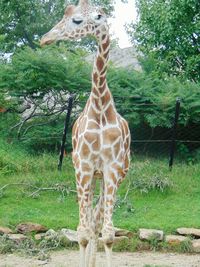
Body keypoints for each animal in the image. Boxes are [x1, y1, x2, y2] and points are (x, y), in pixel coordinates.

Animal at [41, 1, 130, 266]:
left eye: (77, 21)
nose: (45, 38)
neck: (100, 107)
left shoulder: (112, 169)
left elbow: (108, 234)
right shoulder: (83, 167)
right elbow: (82, 232)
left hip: (111, 177)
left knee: (98, 222)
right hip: (90, 175)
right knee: (90, 223)